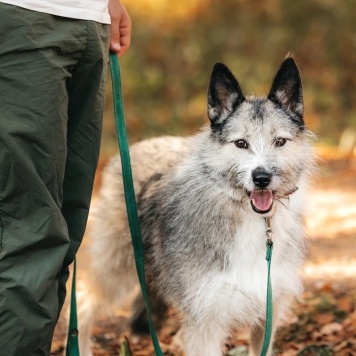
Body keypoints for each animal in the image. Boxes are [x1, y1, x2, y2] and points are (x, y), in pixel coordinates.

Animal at [78, 57, 314, 354]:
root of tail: (136, 148)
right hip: (115, 270)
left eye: (280, 141)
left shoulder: (266, 317)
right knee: (83, 302)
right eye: (241, 143)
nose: (261, 178)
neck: (251, 221)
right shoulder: (205, 322)